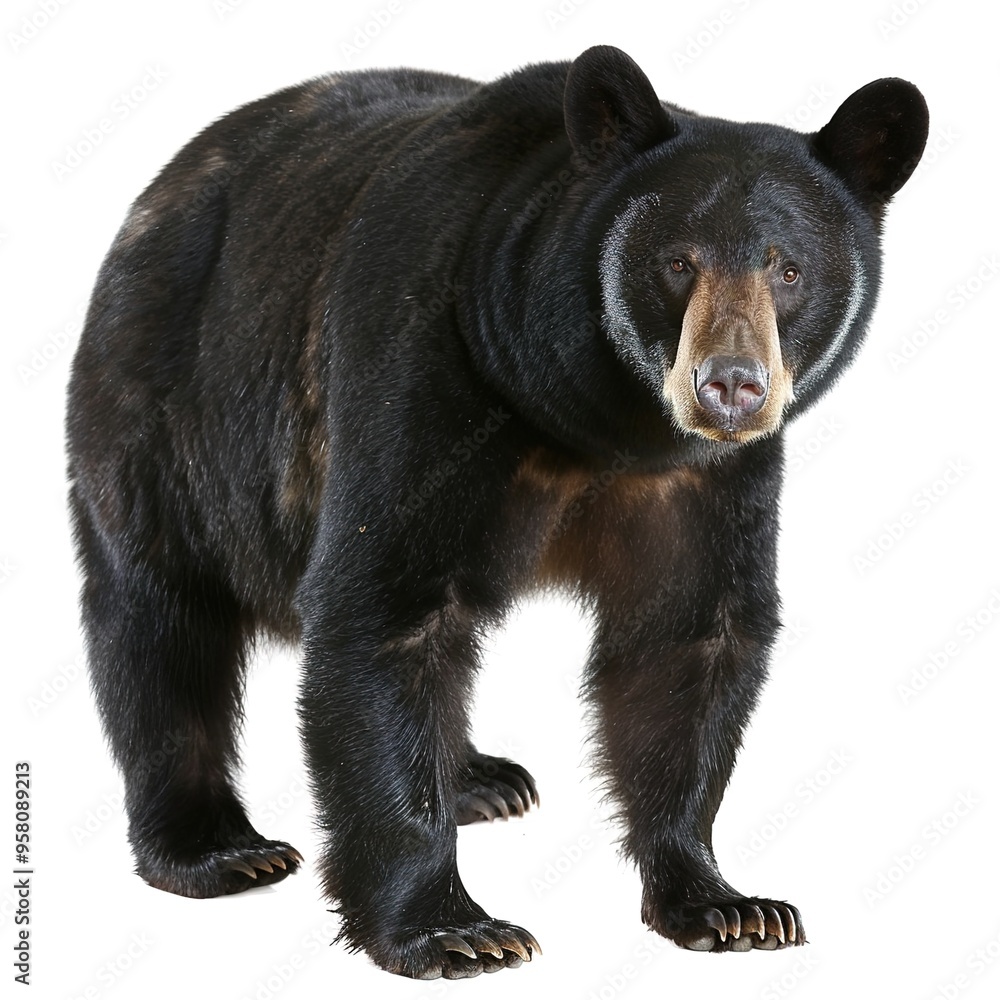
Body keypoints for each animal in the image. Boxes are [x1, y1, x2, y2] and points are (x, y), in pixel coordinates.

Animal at [66, 45, 928, 979]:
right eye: (677, 262)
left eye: (787, 266)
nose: (729, 384)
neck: (594, 420)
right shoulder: (422, 379)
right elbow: (383, 611)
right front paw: (455, 929)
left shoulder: (707, 480)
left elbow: (688, 639)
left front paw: (727, 903)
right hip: (168, 406)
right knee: (160, 618)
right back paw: (217, 848)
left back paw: (481, 779)